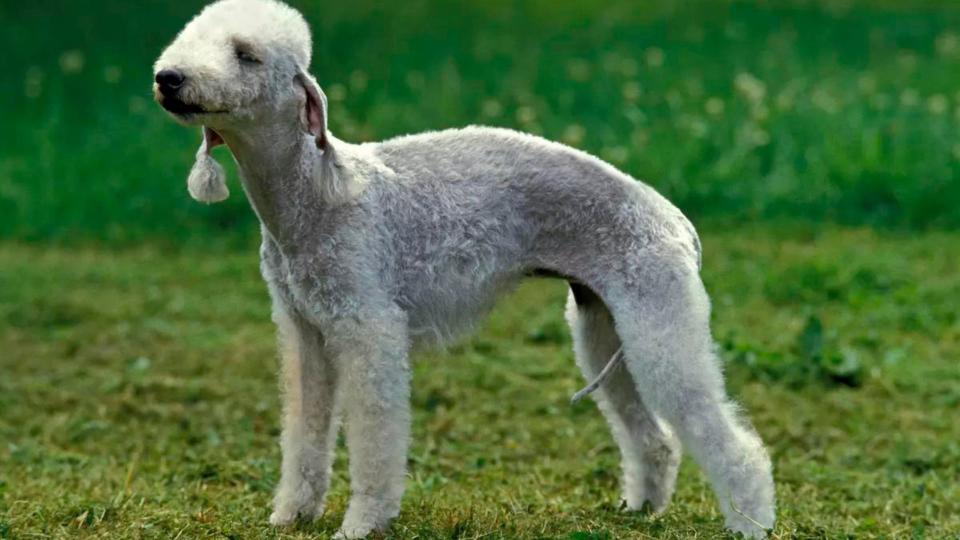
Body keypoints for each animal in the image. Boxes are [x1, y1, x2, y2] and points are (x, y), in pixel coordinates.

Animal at [154, 2, 776, 536]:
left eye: (246, 54)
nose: (168, 78)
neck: (314, 192)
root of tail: (672, 217)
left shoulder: (368, 328)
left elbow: (374, 435)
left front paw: (361, 524)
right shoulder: (304, 331)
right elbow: (305, 430)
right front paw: (290, 515)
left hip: (659, 321)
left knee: (729, 440)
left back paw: (750, 521)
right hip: (604, 326)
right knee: (656, 438)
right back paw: (641, 507)